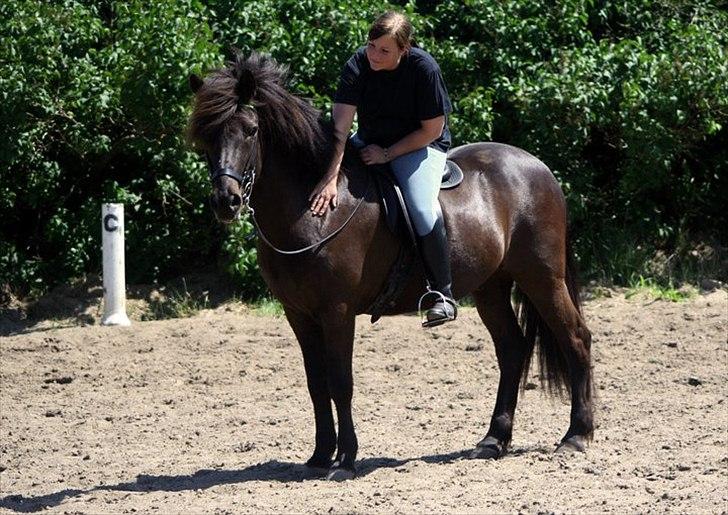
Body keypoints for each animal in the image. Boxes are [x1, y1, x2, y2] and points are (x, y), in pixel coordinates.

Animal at [188, 52, 592, 480]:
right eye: (206, 135)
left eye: (250, 130)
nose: (226, 201)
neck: (313, 210)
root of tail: (537, 167)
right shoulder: (298, 314)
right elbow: (316, 384)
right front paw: (320, 455)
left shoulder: (336, 312)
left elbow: (340, 382)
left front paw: (345, 460)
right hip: (491, 288)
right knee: (512, 350)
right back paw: (493, 441)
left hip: (542, 278)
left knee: (576, 339)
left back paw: (576, 437)